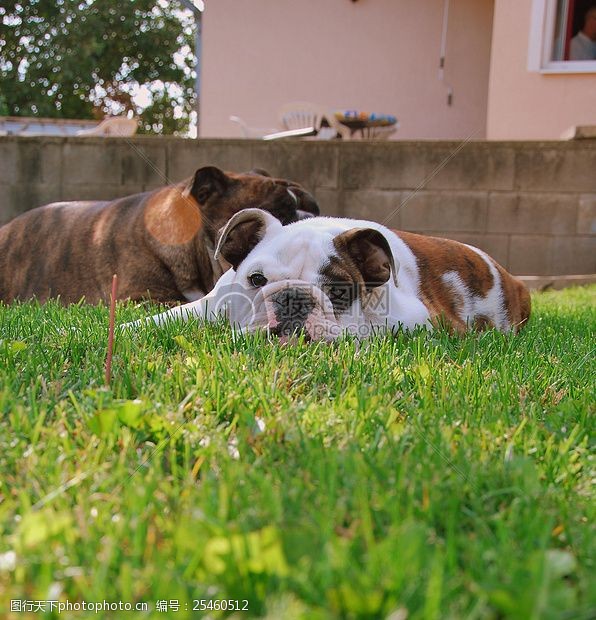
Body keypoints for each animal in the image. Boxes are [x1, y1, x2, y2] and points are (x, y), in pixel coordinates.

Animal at [134, 208, 532, 340]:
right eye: (256, 280)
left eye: (339, 292)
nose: (293, 299)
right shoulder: (206, 304)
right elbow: (157, 319)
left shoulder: (420, 321)